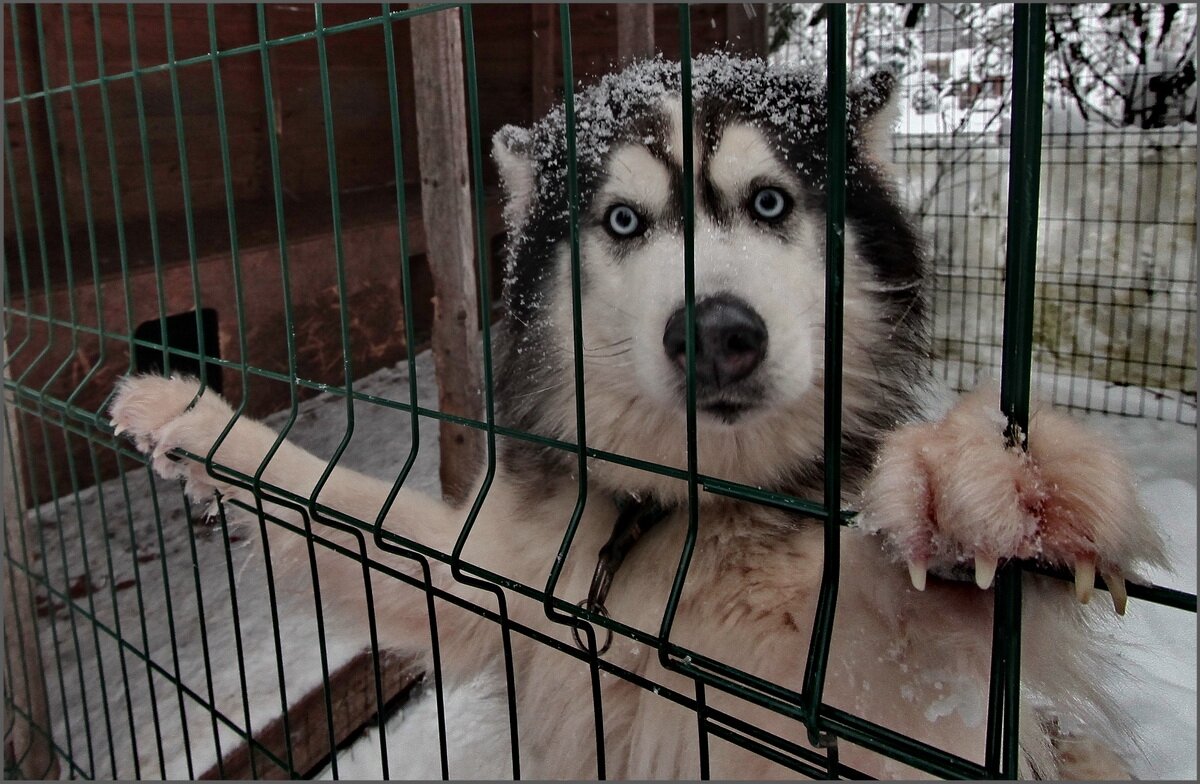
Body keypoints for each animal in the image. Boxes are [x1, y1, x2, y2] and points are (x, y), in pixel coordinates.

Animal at [110, 54, 1161, 777]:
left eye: (769, 202)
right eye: (623, 220)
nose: (719, 333)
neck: (678, 517)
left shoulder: (849, 697)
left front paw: (977, 485)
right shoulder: (495, 581)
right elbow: (341, 510)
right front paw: (191, 417)